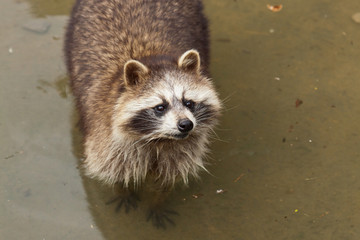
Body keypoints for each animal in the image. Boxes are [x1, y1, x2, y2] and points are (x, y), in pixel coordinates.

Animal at [65, 0, 222, 223]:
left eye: (189, 103)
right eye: (160, 107)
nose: (186, 125)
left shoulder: (184, 148)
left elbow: (169, 176)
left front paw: (158, 200)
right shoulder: (105, 135)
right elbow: (112, 167)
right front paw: (122, 190)